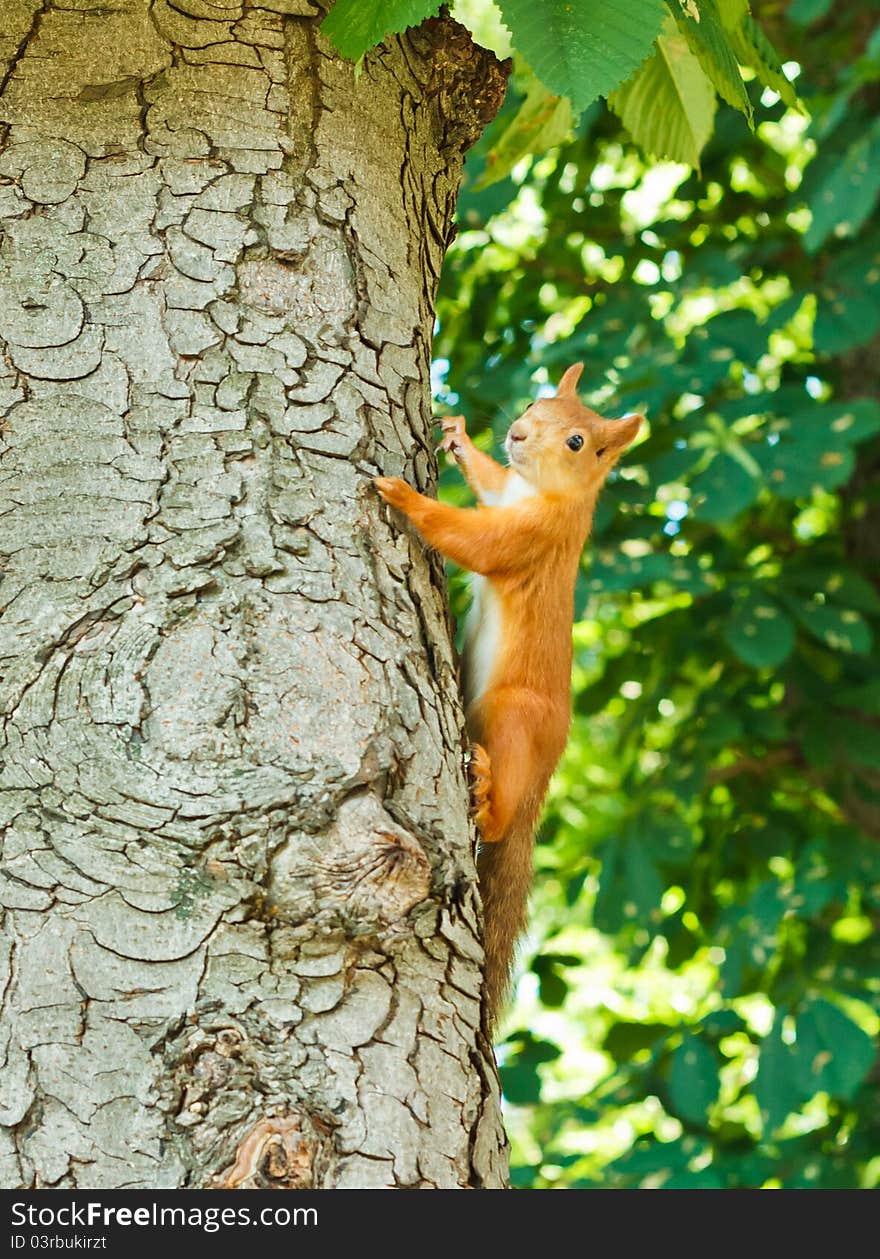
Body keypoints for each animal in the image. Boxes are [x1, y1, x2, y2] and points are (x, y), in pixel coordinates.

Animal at [375, 362, 644, 1022]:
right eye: (532, 403)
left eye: (576, 442)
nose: (518, 434)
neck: (545, 493)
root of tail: (547, 771)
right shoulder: (505, 493)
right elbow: (489, 480)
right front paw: (459, 435)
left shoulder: (531, 536)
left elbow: (474, 542)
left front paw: (406, 497)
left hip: (513, 714)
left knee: (496, 825)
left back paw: (489, 795)